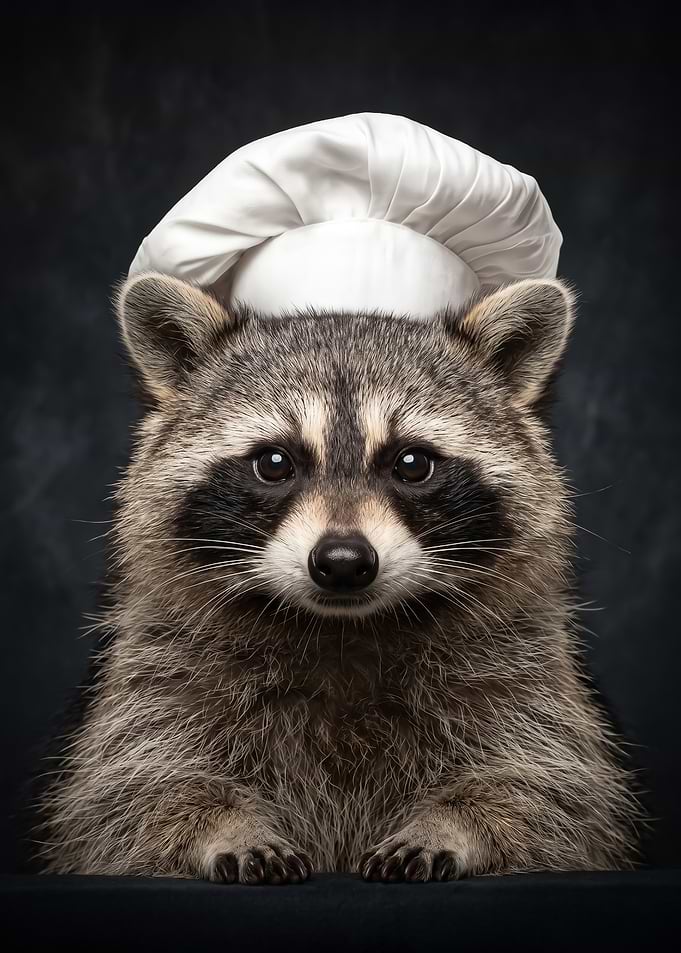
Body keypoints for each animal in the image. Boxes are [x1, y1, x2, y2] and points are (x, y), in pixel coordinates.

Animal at [38, 273, 639, 884]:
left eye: (412, 463)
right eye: (274, 463)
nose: (344, 561)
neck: (342, 630)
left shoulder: (522, 668)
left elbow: (547, 791)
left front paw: (451, 824)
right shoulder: (162, 668)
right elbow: (134, 791)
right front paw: (226, 826)